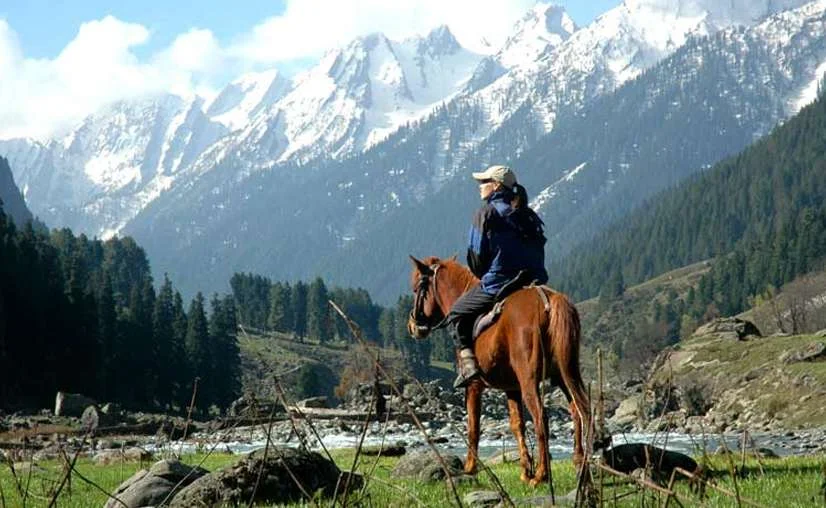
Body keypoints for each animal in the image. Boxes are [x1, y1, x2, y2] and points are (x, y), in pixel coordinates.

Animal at [407, 255, 591, 487]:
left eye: (416, 289)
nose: (412, 325)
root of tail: (547, 300)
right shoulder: (511, 388)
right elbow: (517, 425)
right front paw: (525, 471)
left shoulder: (474, 385)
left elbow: (473, 427)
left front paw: (469, 468)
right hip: (565, 374)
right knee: (578, 411)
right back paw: (580, 468)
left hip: (530, 381)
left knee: (541, 418)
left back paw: (542, 475)